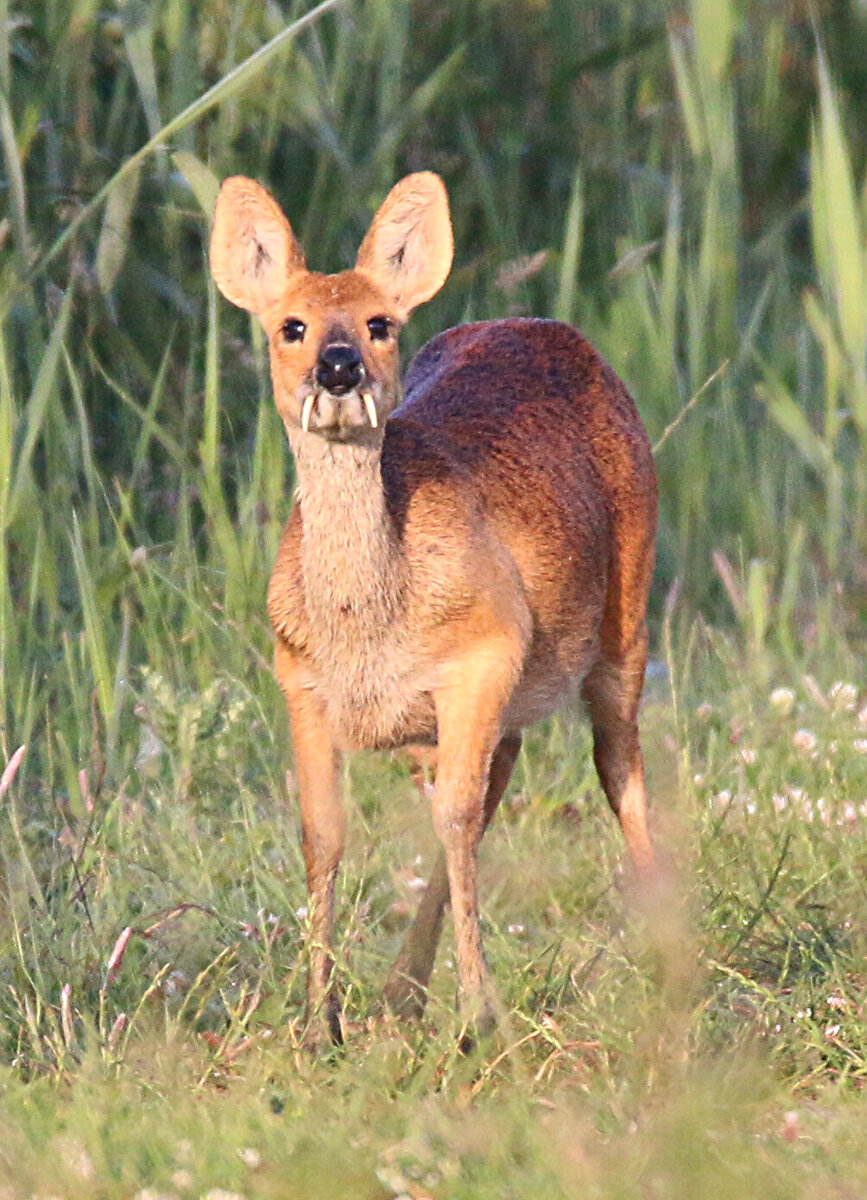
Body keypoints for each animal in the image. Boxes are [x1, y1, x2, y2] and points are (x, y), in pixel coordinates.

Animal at [208, 169, 653, 1041]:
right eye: (291, 326)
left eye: (379, 323)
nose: (338, 368)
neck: (368, 628)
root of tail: (552, 328)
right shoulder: (298, 678)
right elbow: (324, 834)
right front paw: (319, 1027)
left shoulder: (483, 652)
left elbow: (452, 821)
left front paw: (479, 1017)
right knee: (503, 778)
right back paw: (398, 994)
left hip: (627, 612)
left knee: (616, 761)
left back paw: (673, 948)